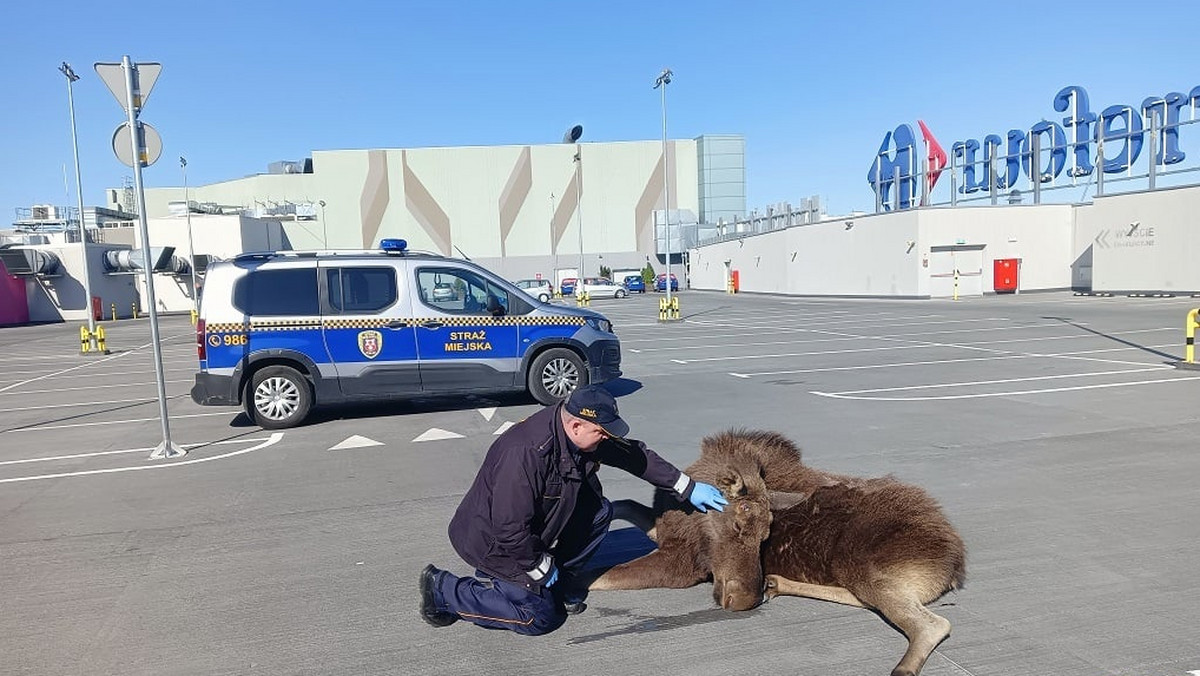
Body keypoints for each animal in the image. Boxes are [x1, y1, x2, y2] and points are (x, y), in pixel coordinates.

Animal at [590, 432, 964, 676]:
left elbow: (600, 577)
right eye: (738, 523)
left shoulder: (681, 564)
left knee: (931, 624)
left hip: (860, 564)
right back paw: (776, 583)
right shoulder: (663, 532)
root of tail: (954, 565)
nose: (745, 600)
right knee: (868, 601)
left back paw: (902, 668)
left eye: (766, 536)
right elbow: (624, 504)